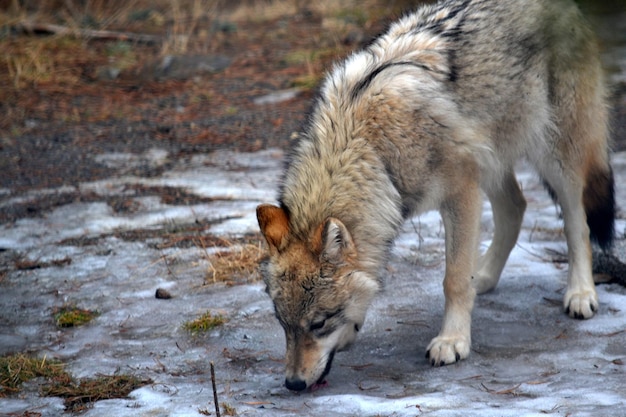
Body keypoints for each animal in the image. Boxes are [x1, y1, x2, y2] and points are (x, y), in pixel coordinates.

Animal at [254, 0, 608, 392]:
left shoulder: (460, 192)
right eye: (283, 324)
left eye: (319, 322)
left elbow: (453, 280)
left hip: (554, 154)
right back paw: (484, 275)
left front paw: (452, 341)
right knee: (516, 207)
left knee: (577, 220)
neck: (369, 146)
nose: (293, 384)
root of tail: (569, 8)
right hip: (491, 159)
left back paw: (581, 293)